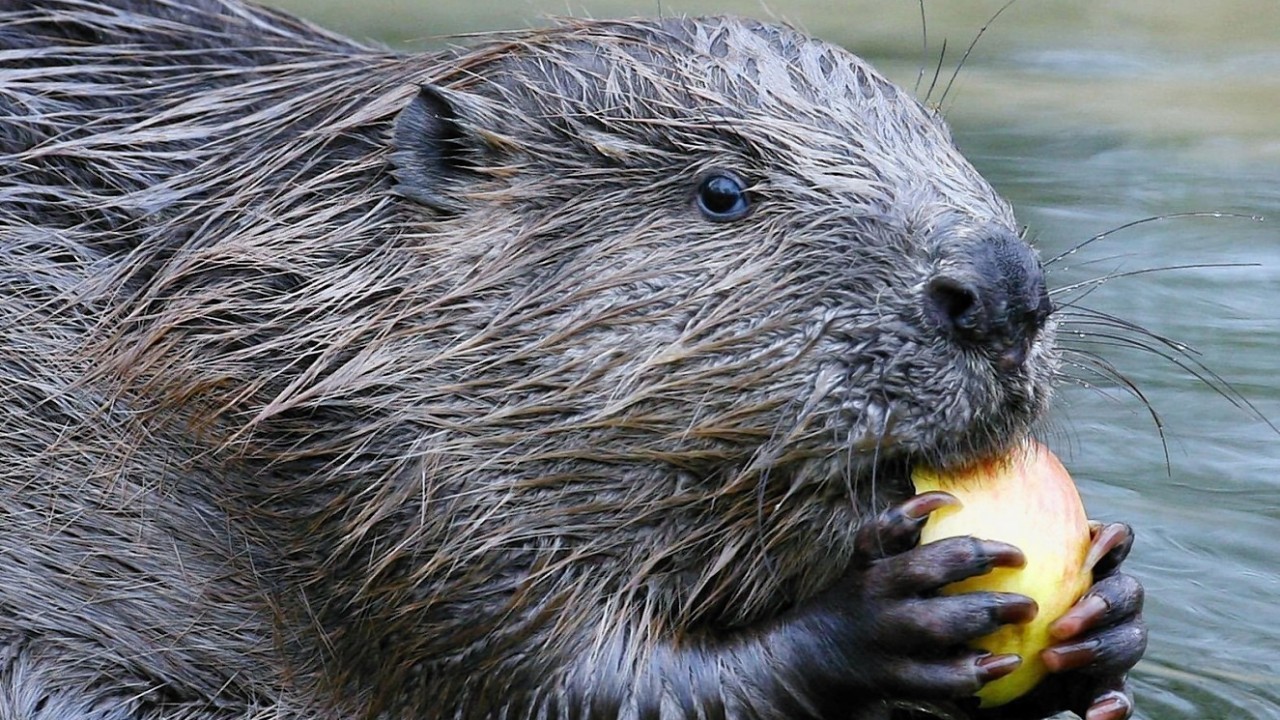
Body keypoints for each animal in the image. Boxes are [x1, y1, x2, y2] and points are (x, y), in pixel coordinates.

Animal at [0, 1, 1146, 717]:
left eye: (942, 141)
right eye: (721, 190)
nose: (999, 292)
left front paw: (1107, 614)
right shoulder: (380, 483)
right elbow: (580, 683)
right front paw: (887, 617)